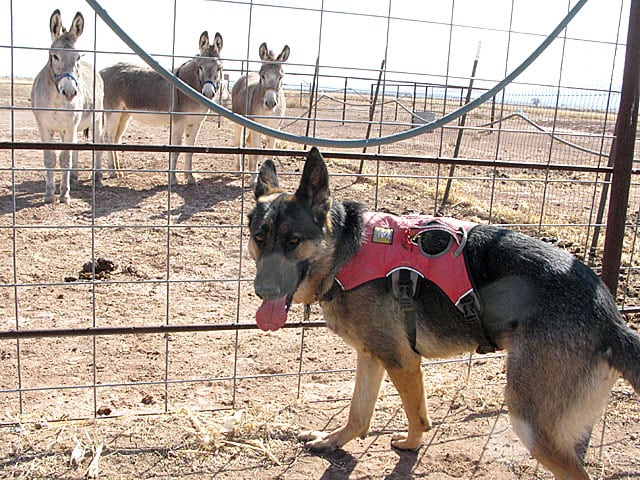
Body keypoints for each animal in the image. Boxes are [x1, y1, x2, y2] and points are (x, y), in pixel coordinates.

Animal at [249, 148, 640, 478]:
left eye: (293, 241)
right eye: (259, 237)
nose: (263, 291)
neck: (346, 251)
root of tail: (610, 317)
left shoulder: (402, 361)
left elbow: (415, 415)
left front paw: (410, 445)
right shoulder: (373, 355)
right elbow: (360, 413)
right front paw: (334, 441)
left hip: (531, 421)